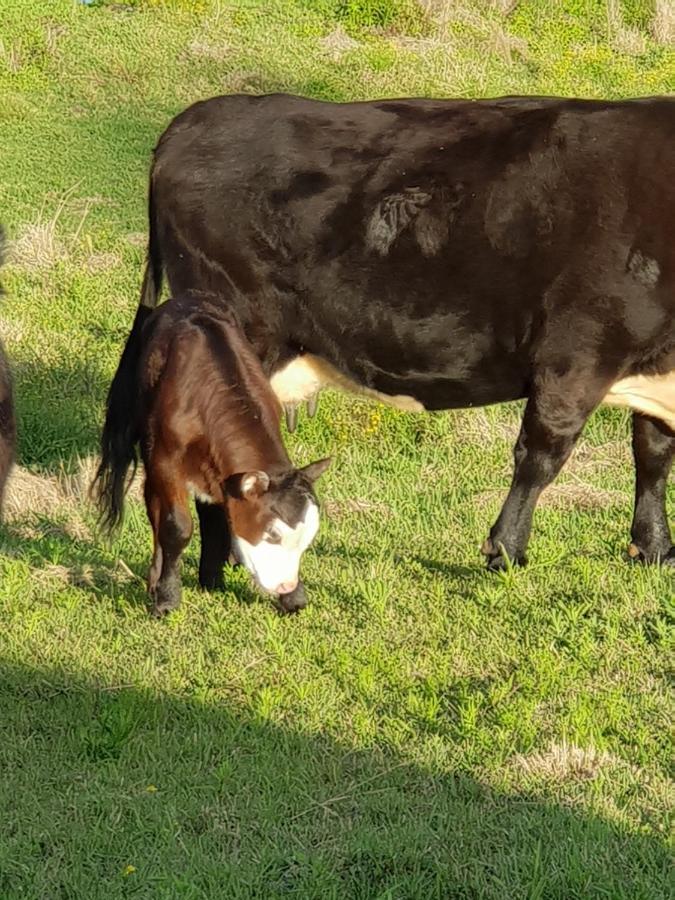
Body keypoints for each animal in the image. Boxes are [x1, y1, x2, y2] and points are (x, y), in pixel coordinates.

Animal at [92, 292, 330, 616]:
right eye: (272, 534)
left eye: (307, 539)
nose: (286, 586)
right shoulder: (166, 463)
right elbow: (176, 527)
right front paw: (167, 598)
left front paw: (292, 598)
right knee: (154, 507)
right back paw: (156, 580)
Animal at [103, 95, 672, 580]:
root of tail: (190, 121)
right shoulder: (576, 353)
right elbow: (541, 456)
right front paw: (505, 552)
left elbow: (652, 452)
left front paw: (654, 549)